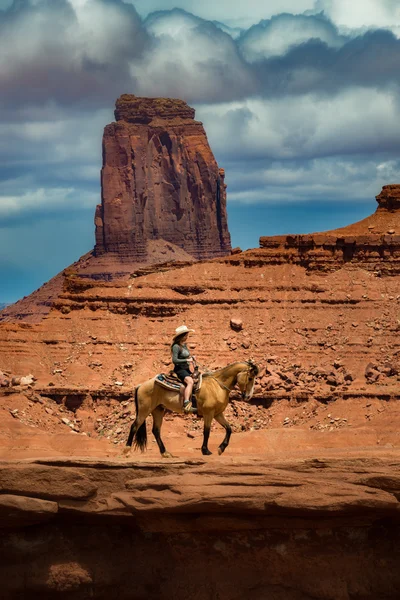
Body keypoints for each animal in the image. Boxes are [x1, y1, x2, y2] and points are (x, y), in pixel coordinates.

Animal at [124, 360, 260, 454]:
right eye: (250, 378)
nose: (248, 396)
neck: (217, 386)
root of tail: (141, 385)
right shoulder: (209, 413)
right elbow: (207, 432)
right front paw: (205, 450)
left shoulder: (217, 414)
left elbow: (229, 429)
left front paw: (221, 448)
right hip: (144, 410)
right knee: (134, 426)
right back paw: (126, 450)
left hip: (158, 410)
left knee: (156, 431)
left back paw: (165, 453)